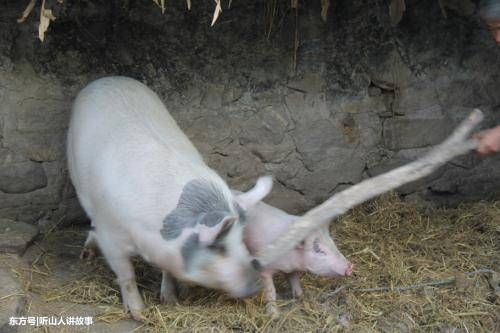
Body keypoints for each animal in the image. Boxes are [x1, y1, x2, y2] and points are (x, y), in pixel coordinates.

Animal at [67, 76, 274, 320]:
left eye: (242, 237)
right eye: (218, 247)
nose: (257, 284)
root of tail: (106, 78)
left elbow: (168, 270)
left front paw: (170, 300)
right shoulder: (111, 236)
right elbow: (126, 275)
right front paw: (140, 314)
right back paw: (86, 254)